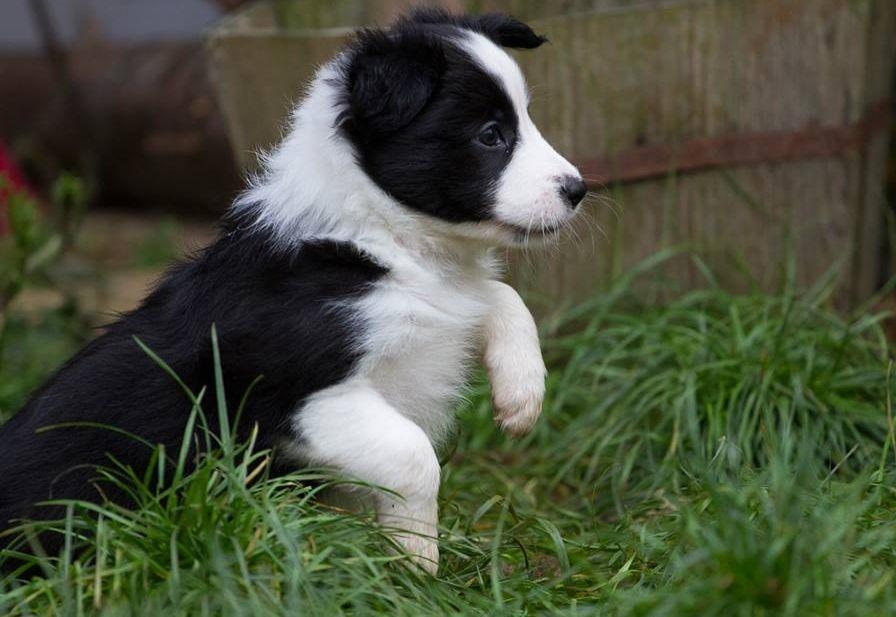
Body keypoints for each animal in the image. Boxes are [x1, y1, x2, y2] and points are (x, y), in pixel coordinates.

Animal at [0, 8, 584, 572]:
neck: (386, 238)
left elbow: (498, 295)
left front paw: (522, 395)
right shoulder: (294, 400)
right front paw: (414, 560)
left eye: (526, 121)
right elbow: (414, 453)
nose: (578, 189)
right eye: (490, 135)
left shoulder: (444, 302)